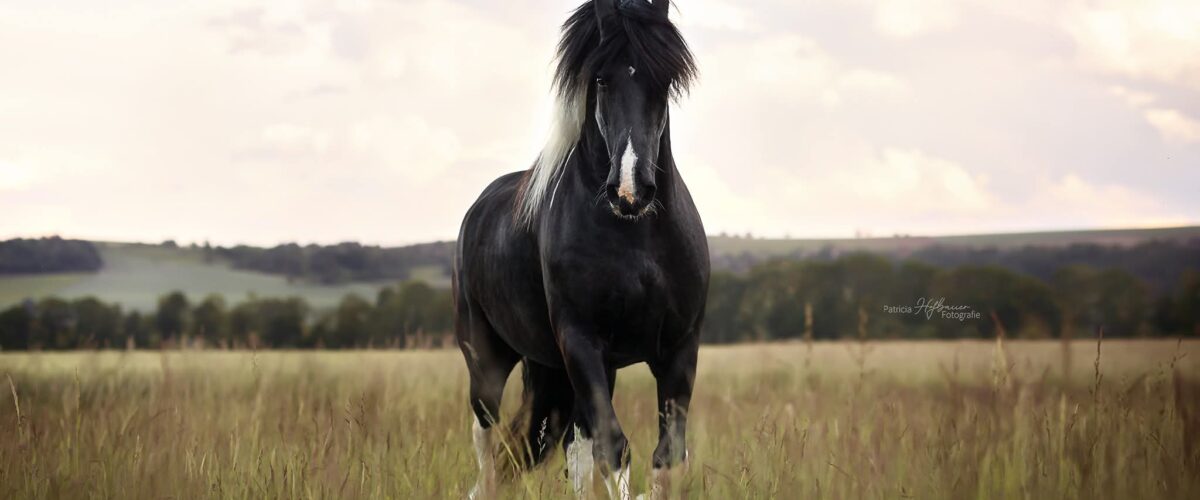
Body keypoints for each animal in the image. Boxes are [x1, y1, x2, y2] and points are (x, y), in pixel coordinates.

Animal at [454, 0, 706, 497]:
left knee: (574, 450)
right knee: (487, 446)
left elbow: (666, 456)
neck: (637, 239)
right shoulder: (581, 342)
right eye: (602, 79)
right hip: (489, 360)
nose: (630, 190)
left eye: (664, 79)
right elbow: (614, 447)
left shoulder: (679, 350)